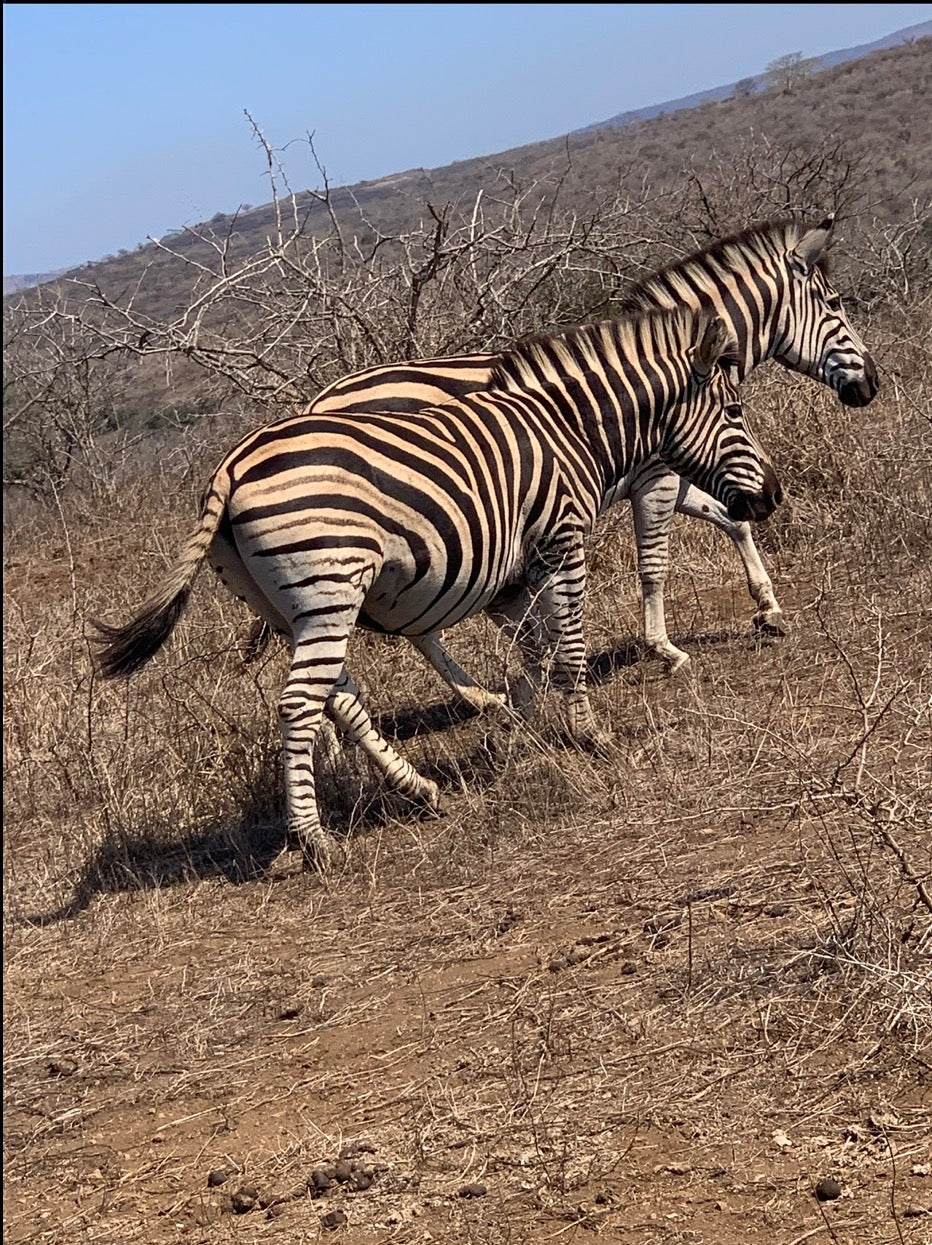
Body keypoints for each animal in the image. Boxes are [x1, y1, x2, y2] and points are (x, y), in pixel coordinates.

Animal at [92, 307, 780, 876]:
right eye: (735, 412)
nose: (771, 498)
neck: (569, 430)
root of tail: (230, 467)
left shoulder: (513, 575)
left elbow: (535, 651)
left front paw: (524, 733)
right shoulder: (561, 540)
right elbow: (570, 647)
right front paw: (590, 736)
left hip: (293, 607)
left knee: (339, 697)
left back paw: (419, 790)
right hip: (329, 586)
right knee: (299, 704)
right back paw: (314, 840)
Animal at [287, 214, 877, 687]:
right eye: (835, 304)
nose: (870, 384)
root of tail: (320, 400)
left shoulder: (676, 473)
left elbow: (734, 521)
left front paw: (768, 609)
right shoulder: (658, 478)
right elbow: (654, 564)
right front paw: (665, 650)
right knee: (406, 631)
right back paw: (478, 698)